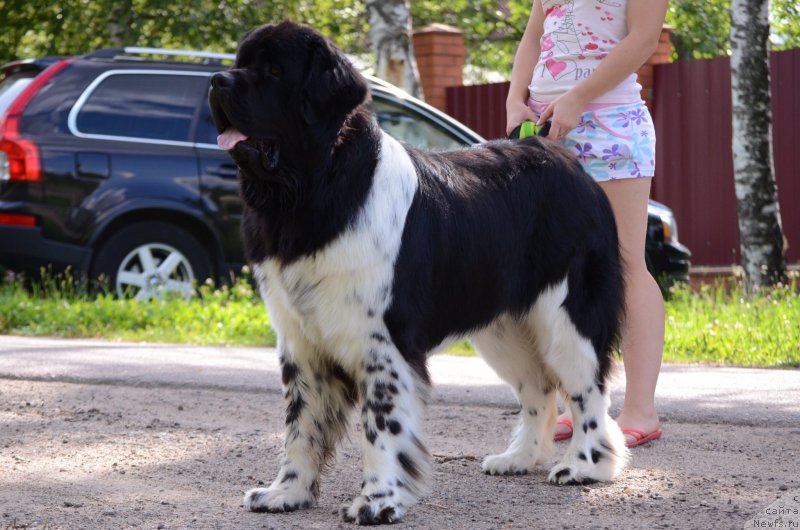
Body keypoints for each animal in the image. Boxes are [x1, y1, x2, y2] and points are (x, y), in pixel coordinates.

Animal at [209, 21, 628, 524]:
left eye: (273, 71)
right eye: (240, 63)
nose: (217, 81)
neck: (313, 189)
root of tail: (558, 155)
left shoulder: (382, 342)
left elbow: (380, 425)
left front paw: (377, 501)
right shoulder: (300, 342)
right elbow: (301, 425)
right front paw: (285, 493)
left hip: (566, 317)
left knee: (589, 391)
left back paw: (586, 466)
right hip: (503, 328)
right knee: (539, 390)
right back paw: (517, 459)